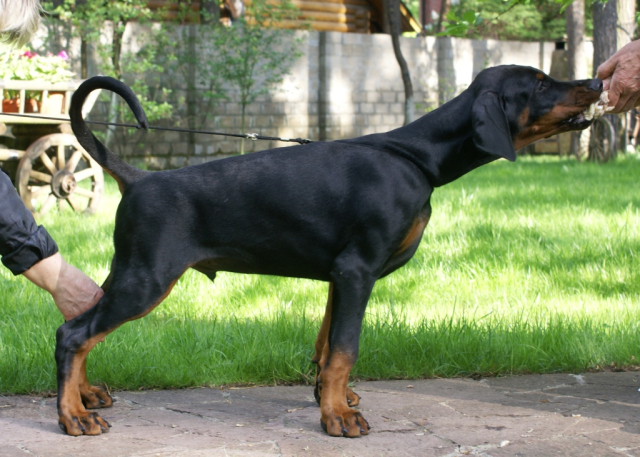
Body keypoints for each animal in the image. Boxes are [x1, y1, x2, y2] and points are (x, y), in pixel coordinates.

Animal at [57, 65, 602, 437]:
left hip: (128, 273)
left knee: (79, 326)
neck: (417, 158)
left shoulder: (340, 277)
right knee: (73, 333)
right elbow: (345, 348)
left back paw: (85, 396)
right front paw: (338, 417)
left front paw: (329, 399)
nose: (596, 82)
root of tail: (138, 177)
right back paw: (71, 416)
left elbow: (326, 347)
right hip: (147, 279)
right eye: (539, 84)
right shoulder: (358, 270)